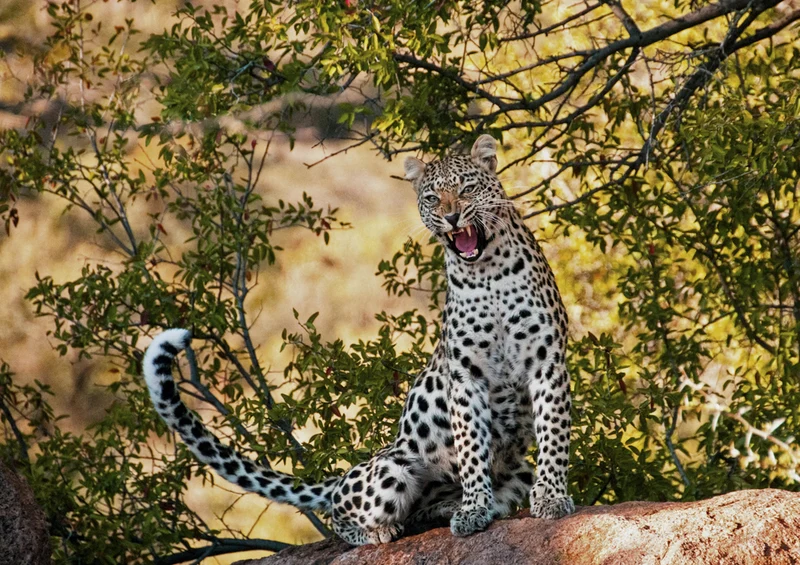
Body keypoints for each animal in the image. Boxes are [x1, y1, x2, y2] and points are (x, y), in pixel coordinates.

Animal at [142, 134, 575, 546]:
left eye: (467, 188)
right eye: (432, 198)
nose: (451, 217)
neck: (488, 272)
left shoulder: (547, 360)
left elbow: (553, 436)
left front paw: (552, 497)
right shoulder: (466, 376)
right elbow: (471, 448)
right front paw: (473, 509)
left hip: (517, 468)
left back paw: (445, 510)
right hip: (390, 470)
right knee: (341, 516)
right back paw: (383, 530)